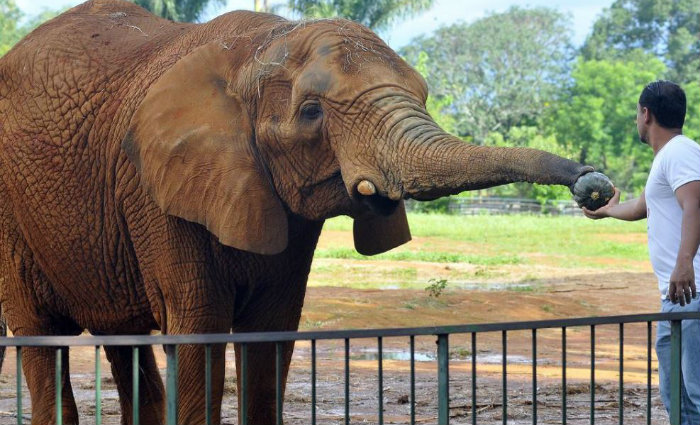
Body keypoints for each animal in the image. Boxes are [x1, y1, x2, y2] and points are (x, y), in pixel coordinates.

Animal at [0, 0, 602, 423]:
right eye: (312, 113)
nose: (592, 184)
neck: (259, 49)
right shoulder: (155, 193)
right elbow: (199, 326)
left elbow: (272, 330)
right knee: (40, 334)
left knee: (122, 342)